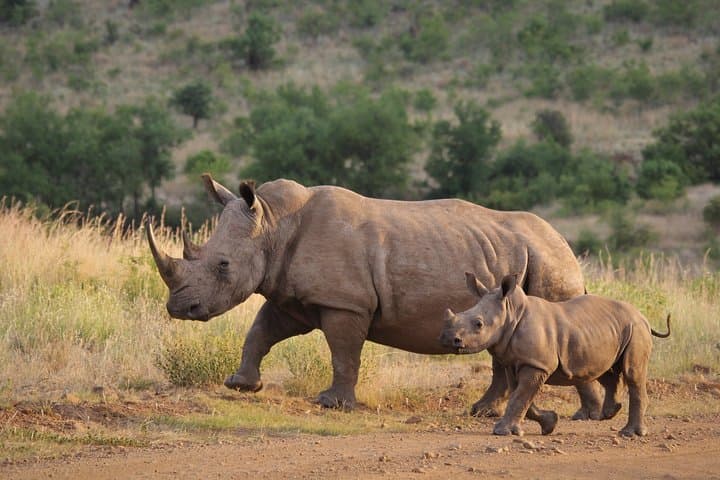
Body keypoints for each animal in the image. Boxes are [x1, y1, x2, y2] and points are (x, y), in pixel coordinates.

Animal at [146, 175, 602, 415]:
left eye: (223, 265)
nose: (179, 307)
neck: (273, 225)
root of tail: (564, 243)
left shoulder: (344, 302)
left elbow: (343, 352)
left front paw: (332, 404)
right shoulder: (291, 296)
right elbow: (260, 332)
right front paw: (241, 385)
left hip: (548, 262)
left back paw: (582, 414)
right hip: (522, 260)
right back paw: (484, 411)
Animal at [440, 273, 671, 437]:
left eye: (479, 324)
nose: (448, 339)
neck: (511, 312)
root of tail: (642, 316)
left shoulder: (537, 364)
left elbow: (519, 397)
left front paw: (501, 432)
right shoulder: (516, 362)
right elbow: (521, 396)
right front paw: (550, 424)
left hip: (636, 329)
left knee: (632, 374)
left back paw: (629, 434)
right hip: (614, 329)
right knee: (607, 371)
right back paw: (609, 413)